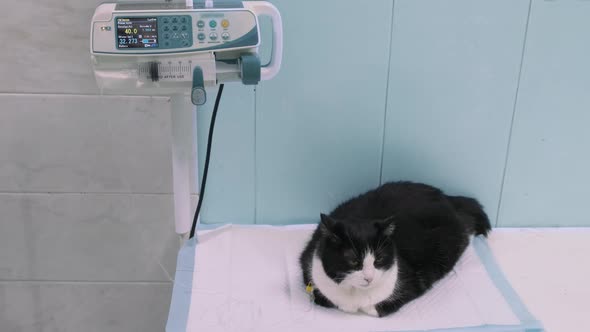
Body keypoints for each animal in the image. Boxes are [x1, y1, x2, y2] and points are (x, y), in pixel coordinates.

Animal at [298, 182, 492, 316]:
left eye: (378, 259)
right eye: (353, 259)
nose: (369, 278)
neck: (356, 294)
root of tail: (447, 197)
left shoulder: (412, 280)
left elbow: (378, 307)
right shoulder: (309, 268)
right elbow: (328, 299)